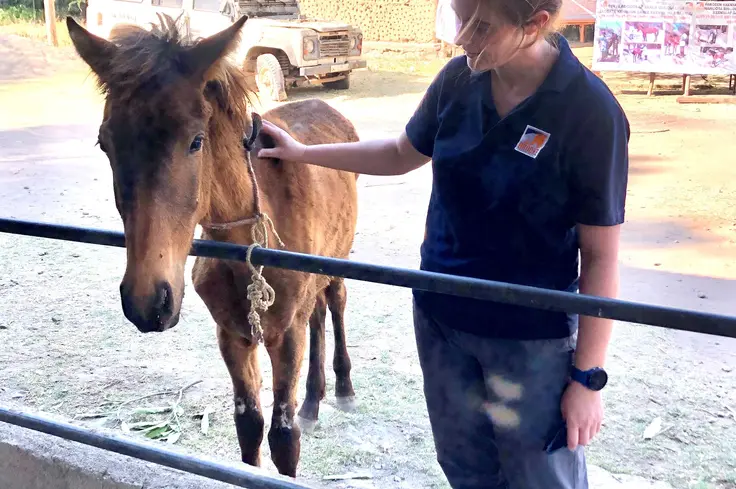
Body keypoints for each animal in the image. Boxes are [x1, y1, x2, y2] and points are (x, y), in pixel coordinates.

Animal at [65, 14, 360, 477]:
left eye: (195, 141)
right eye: (105, 143)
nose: (148, 302)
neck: (247, 251)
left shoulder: (285, 335)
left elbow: (283, 437)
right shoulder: (232, 335)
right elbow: (250, 426)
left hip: (336, 260)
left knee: (335, 303)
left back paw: (343, 388)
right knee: (317, 313)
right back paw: (313, 400)